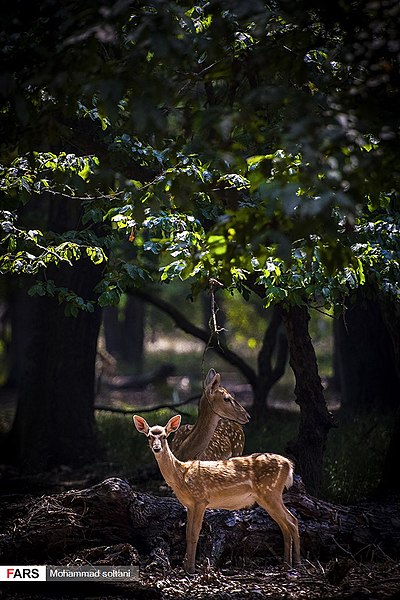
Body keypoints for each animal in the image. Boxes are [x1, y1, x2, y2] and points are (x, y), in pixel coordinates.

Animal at [134, 414, 300, 576]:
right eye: (149, 436)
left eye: (164, 436)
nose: (156, 448)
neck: (181, 475)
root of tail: (289, 465)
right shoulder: (189, 505)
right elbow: (187, 533)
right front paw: (185, 567)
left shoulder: (201, 499)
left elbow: (194, 533)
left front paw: (191, 569)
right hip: (270, 495)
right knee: (288, 523)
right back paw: (287, 564)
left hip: (270, 492)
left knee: (292, 521)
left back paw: (297, 563)